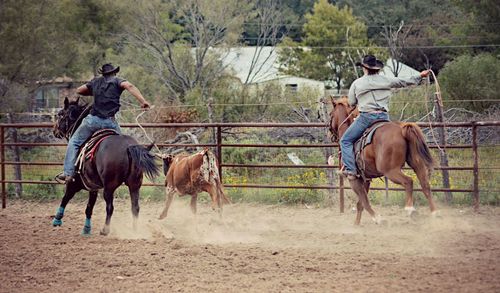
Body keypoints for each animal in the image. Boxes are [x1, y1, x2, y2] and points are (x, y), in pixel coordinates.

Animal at [52, 98, 158, 235]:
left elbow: (66, 198)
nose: (54, 130)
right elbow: (89, 207)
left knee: (110, 207)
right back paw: (134, 231)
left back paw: (105, 230)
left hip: (109, 187)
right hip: (135, 184)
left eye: (60, 114)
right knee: (135, 207)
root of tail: (129, 147)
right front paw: (86, 229)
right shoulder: (93, 186)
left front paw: (57, 220)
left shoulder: (75, 183)